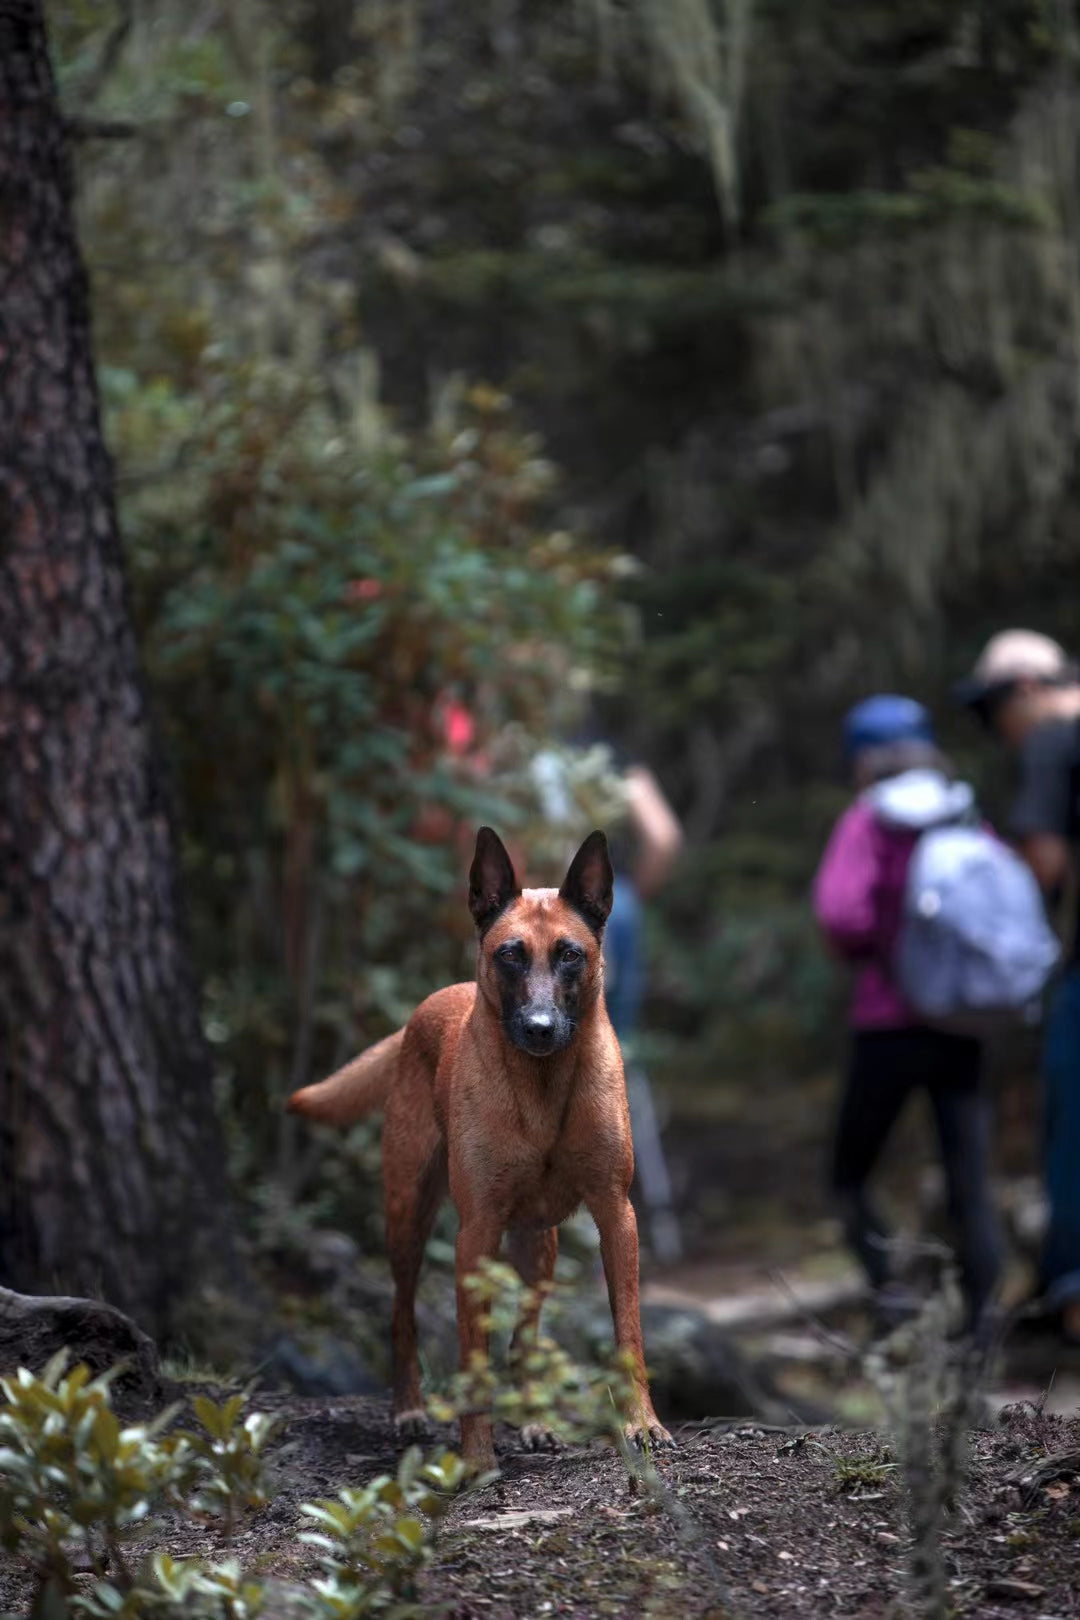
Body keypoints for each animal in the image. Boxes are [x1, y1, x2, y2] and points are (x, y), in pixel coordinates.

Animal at [291, 822, 670, 1470]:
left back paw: (536, 1421)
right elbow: (471, 1355)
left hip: (538, 1246)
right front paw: (476, 1459)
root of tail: (428, 1007)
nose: (540, 1028)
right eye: (509, 954)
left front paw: (642, 1425)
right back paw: (410, 1410)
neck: (542, 1091)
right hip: (409, 1218)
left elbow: (628, 1333)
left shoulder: (616, 1216)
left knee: (524, 1337)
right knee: (402, 1316)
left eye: (571, 954)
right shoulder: (476, 1229)